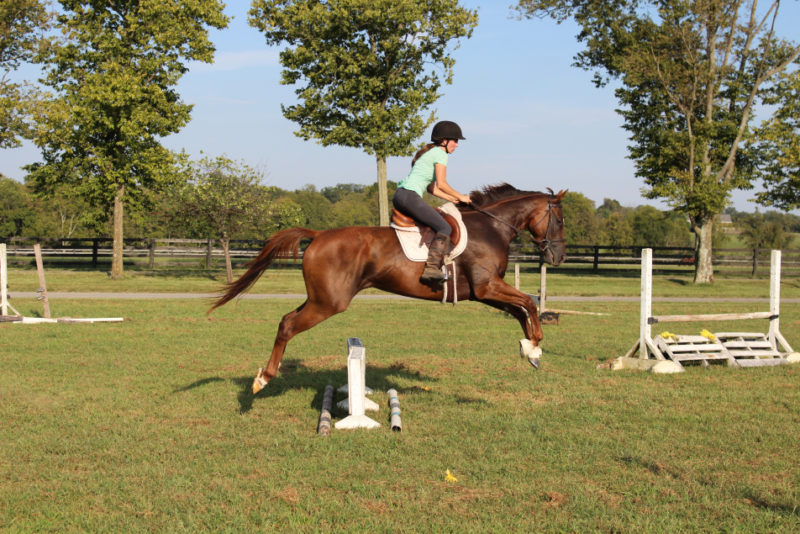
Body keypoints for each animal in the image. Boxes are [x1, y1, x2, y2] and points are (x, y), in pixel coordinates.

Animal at [210, 184, 567, 395]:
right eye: (561, 220)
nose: (558, 256)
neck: (491, 226)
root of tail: (320, 234)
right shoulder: (487, 286)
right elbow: (529, 303)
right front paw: (536, 345)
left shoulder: (483, 293)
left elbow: (522, 309)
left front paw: (530, 350)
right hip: (329, 303)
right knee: (287, 325)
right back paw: (263, 379)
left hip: (319, 298)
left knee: (286, 320)